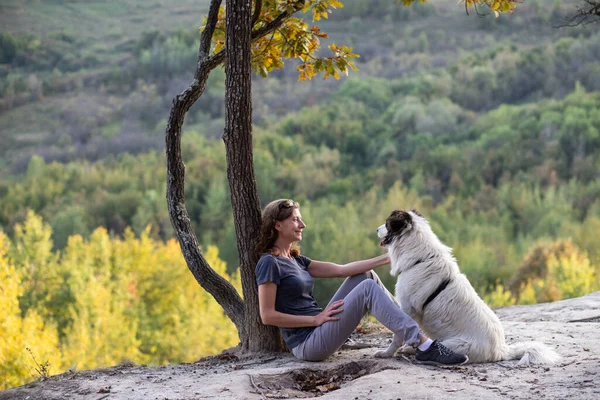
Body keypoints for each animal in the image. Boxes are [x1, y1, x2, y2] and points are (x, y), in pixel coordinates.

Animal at [376, 209, 564, 366]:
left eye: (387, 224)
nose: (376, 229)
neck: (419, 258)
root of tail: (501, 350)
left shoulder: (408, 308)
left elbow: (398, 335)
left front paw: (386, 353)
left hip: (453, 344)